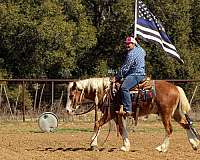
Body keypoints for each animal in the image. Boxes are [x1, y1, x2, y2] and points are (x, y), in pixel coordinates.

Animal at [65, 77, 198, 152]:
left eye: (71, 95)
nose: (67, 110)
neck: (107, 91)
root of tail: (176, 87)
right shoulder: (118, 115)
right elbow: (122, 129)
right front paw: (126, 146)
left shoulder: (110, 113)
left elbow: (97, 124)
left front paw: (93, 144)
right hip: (176, 113)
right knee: (186, 125)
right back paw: (195, 144)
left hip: (165, 114)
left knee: (169, 129)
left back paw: (162, 148)